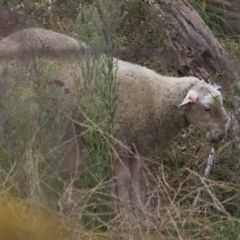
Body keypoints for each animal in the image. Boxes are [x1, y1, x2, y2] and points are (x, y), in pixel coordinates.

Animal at [0, 28, 225, 218]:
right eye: (207, 108)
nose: (220, 136)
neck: (155, 99)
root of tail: (7, 41)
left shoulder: (136, 147)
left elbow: (136, 179)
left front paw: (141, 211)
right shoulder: (118, 142)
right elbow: (124, 179)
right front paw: (126, 214)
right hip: (25, 115)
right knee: (24, 156)